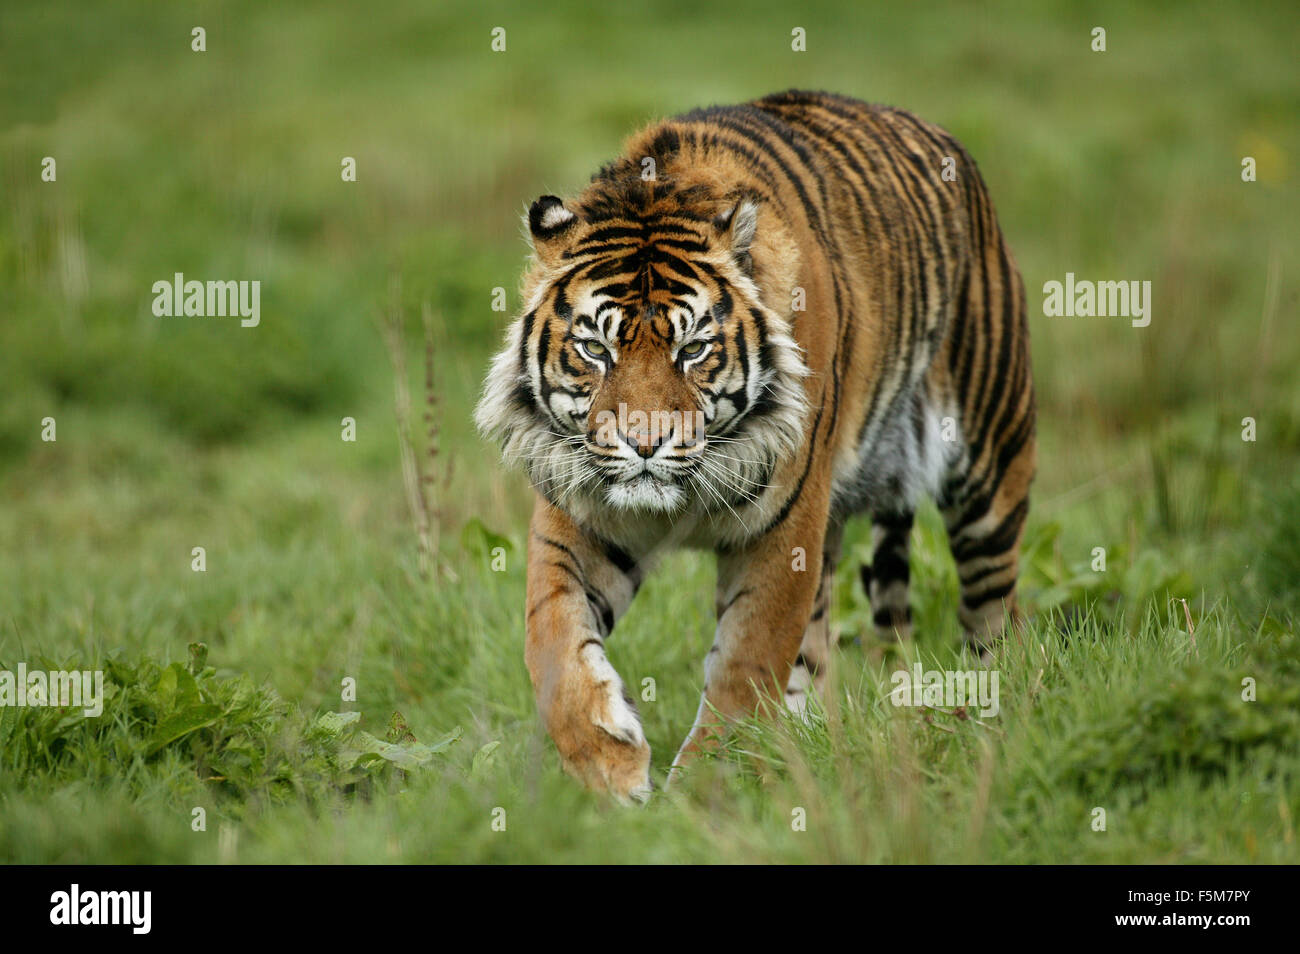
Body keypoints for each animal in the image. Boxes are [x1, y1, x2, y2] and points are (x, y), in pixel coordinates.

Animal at [478, 91, 1034, 805]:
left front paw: (706, 791)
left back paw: (990, 722)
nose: (644, 443)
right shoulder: (581, 516)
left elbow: (746, 664)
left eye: (693, 348)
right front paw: (611, 765)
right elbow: (551, 645)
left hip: (992, 463)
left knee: (995, 615)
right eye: (595, 348)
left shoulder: (784, 530)